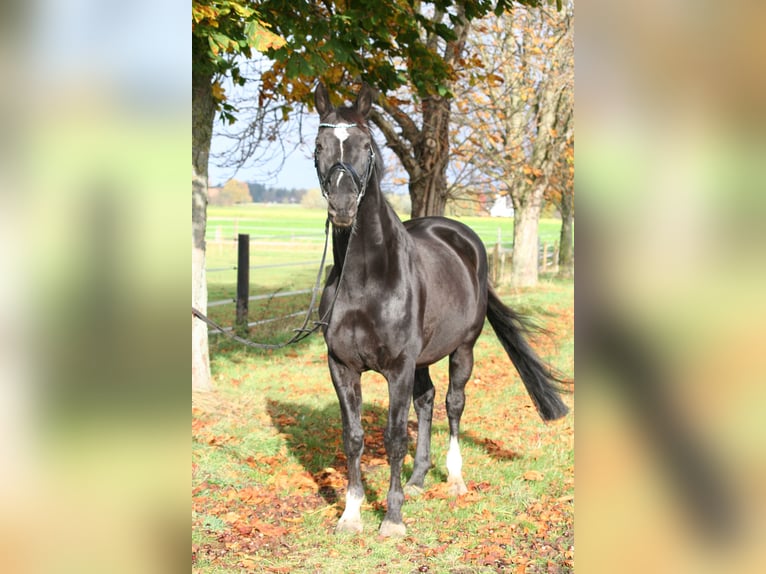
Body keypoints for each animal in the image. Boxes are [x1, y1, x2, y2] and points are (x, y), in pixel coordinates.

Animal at [314, 83, 568, 536]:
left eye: (366, 145)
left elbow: (394, 437)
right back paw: (418, 479)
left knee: (452, 403)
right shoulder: (342, 366)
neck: (366, 279)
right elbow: (354, 436)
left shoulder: (398, 366)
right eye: (319, 145)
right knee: (428, 400)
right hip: (422, 359)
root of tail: (460, 235)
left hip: (462, 349)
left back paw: (454, 478)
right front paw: (351, 513)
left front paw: (392, 519)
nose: (342, 207)